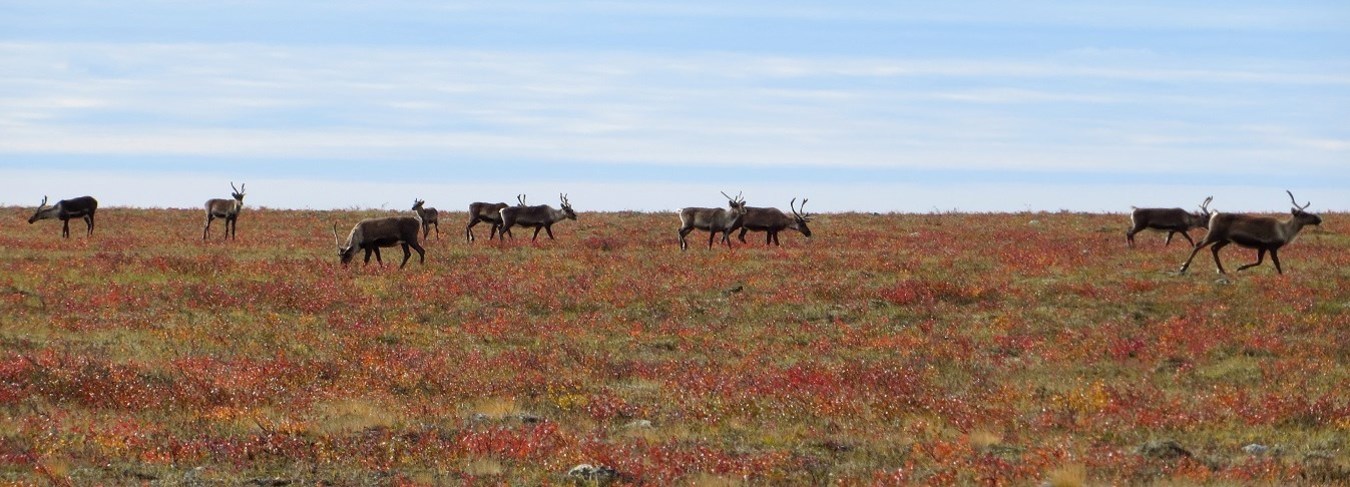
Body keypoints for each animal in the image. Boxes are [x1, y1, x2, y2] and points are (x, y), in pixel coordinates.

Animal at [1182, 190, 1317, 272]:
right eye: (1303, 214)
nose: (1318, 219)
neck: (1285, 231)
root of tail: (1213, 216)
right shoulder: (1271, 246)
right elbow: (1276, 263)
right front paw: (1281, 276)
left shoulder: (1262, 247)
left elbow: (1259, 262)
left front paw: (1240, 268)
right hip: (1214, 234)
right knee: (1198, 245)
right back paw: (1183, 267)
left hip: (1225, 239)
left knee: (1214, 248)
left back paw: (1222, 270)